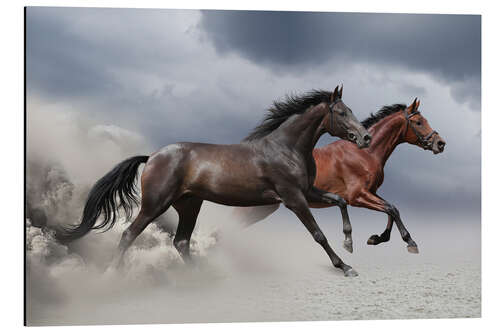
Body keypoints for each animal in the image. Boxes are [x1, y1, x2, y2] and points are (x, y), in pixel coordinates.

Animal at [58, 85, 372, 274]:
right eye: (342, 112)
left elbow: (341, 200)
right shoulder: (293, 198)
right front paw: (345, 266)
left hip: (189, 205)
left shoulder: (307, 191)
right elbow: (318, 234)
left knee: (181, 241)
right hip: (156, 204)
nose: (365, 138)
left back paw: (200, 277)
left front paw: (349, 243)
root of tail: (153, 156)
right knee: (129, 234)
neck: (286, 147)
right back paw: (111, 274)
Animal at [233, 97, 446, 253]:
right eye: (419, 122)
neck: (365, 153)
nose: (441, 143)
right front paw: (410, 242)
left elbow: (392, 208)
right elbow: (391, 209)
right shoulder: (356, 196)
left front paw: (377, 239)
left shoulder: (370, 192)